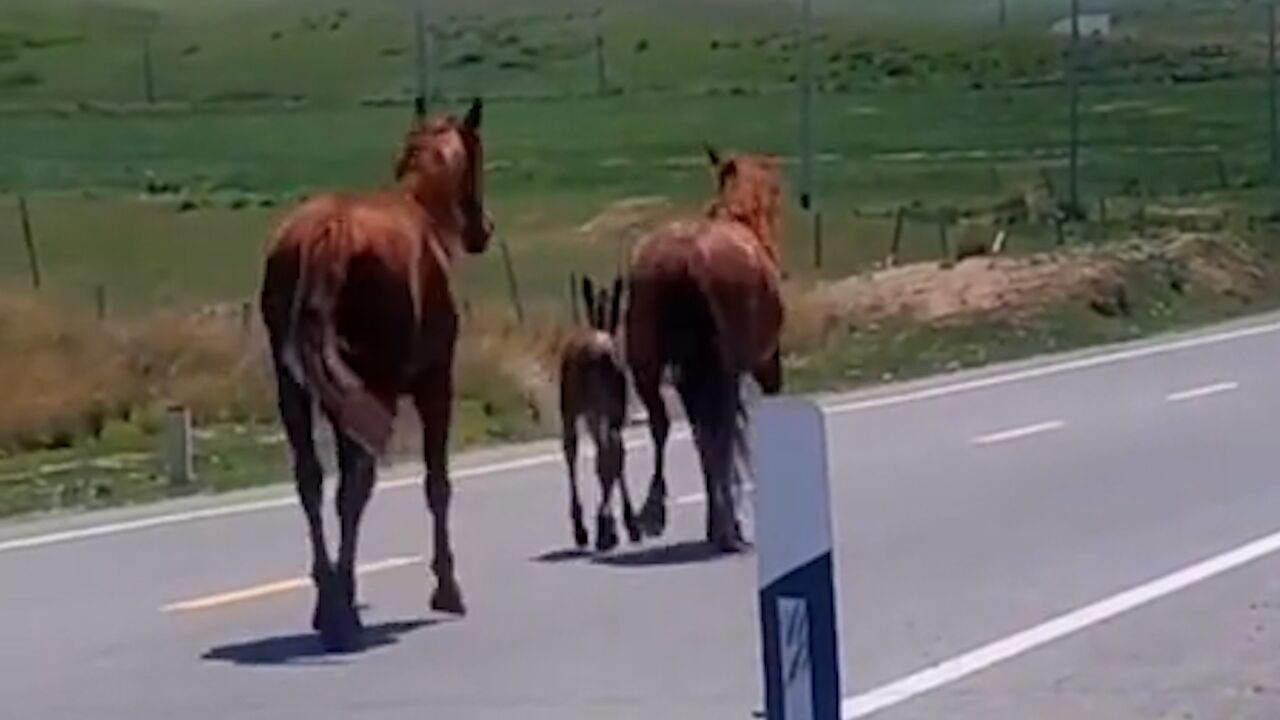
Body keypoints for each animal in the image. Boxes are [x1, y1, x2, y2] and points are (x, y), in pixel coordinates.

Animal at [258, 96, 488, 650]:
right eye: (480, 158)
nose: (482, 231)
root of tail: (325, 239)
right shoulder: (435, 384)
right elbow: (437, 483)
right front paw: (447, 587)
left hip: (296, 389)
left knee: (311, 481)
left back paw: (328, 602)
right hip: (371, 386)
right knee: (353, 488)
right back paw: (342, 613)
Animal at [558, 272, 640, 548]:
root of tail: (604, 355)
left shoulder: (576, 411)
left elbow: (579, 456)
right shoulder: (604, 413)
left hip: (583, 407)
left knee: (598, 453)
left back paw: (596, 528)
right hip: (613, 408)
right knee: (615, 451)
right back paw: (623, 523)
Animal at [624, 146, 783, 548]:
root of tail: (686, 261)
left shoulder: (689, 373)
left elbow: (700, 437)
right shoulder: (763, 364)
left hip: (646, 362)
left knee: (663, 424)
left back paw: (653, 512)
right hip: (722, 364)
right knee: (721, 429)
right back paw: (727, 527)